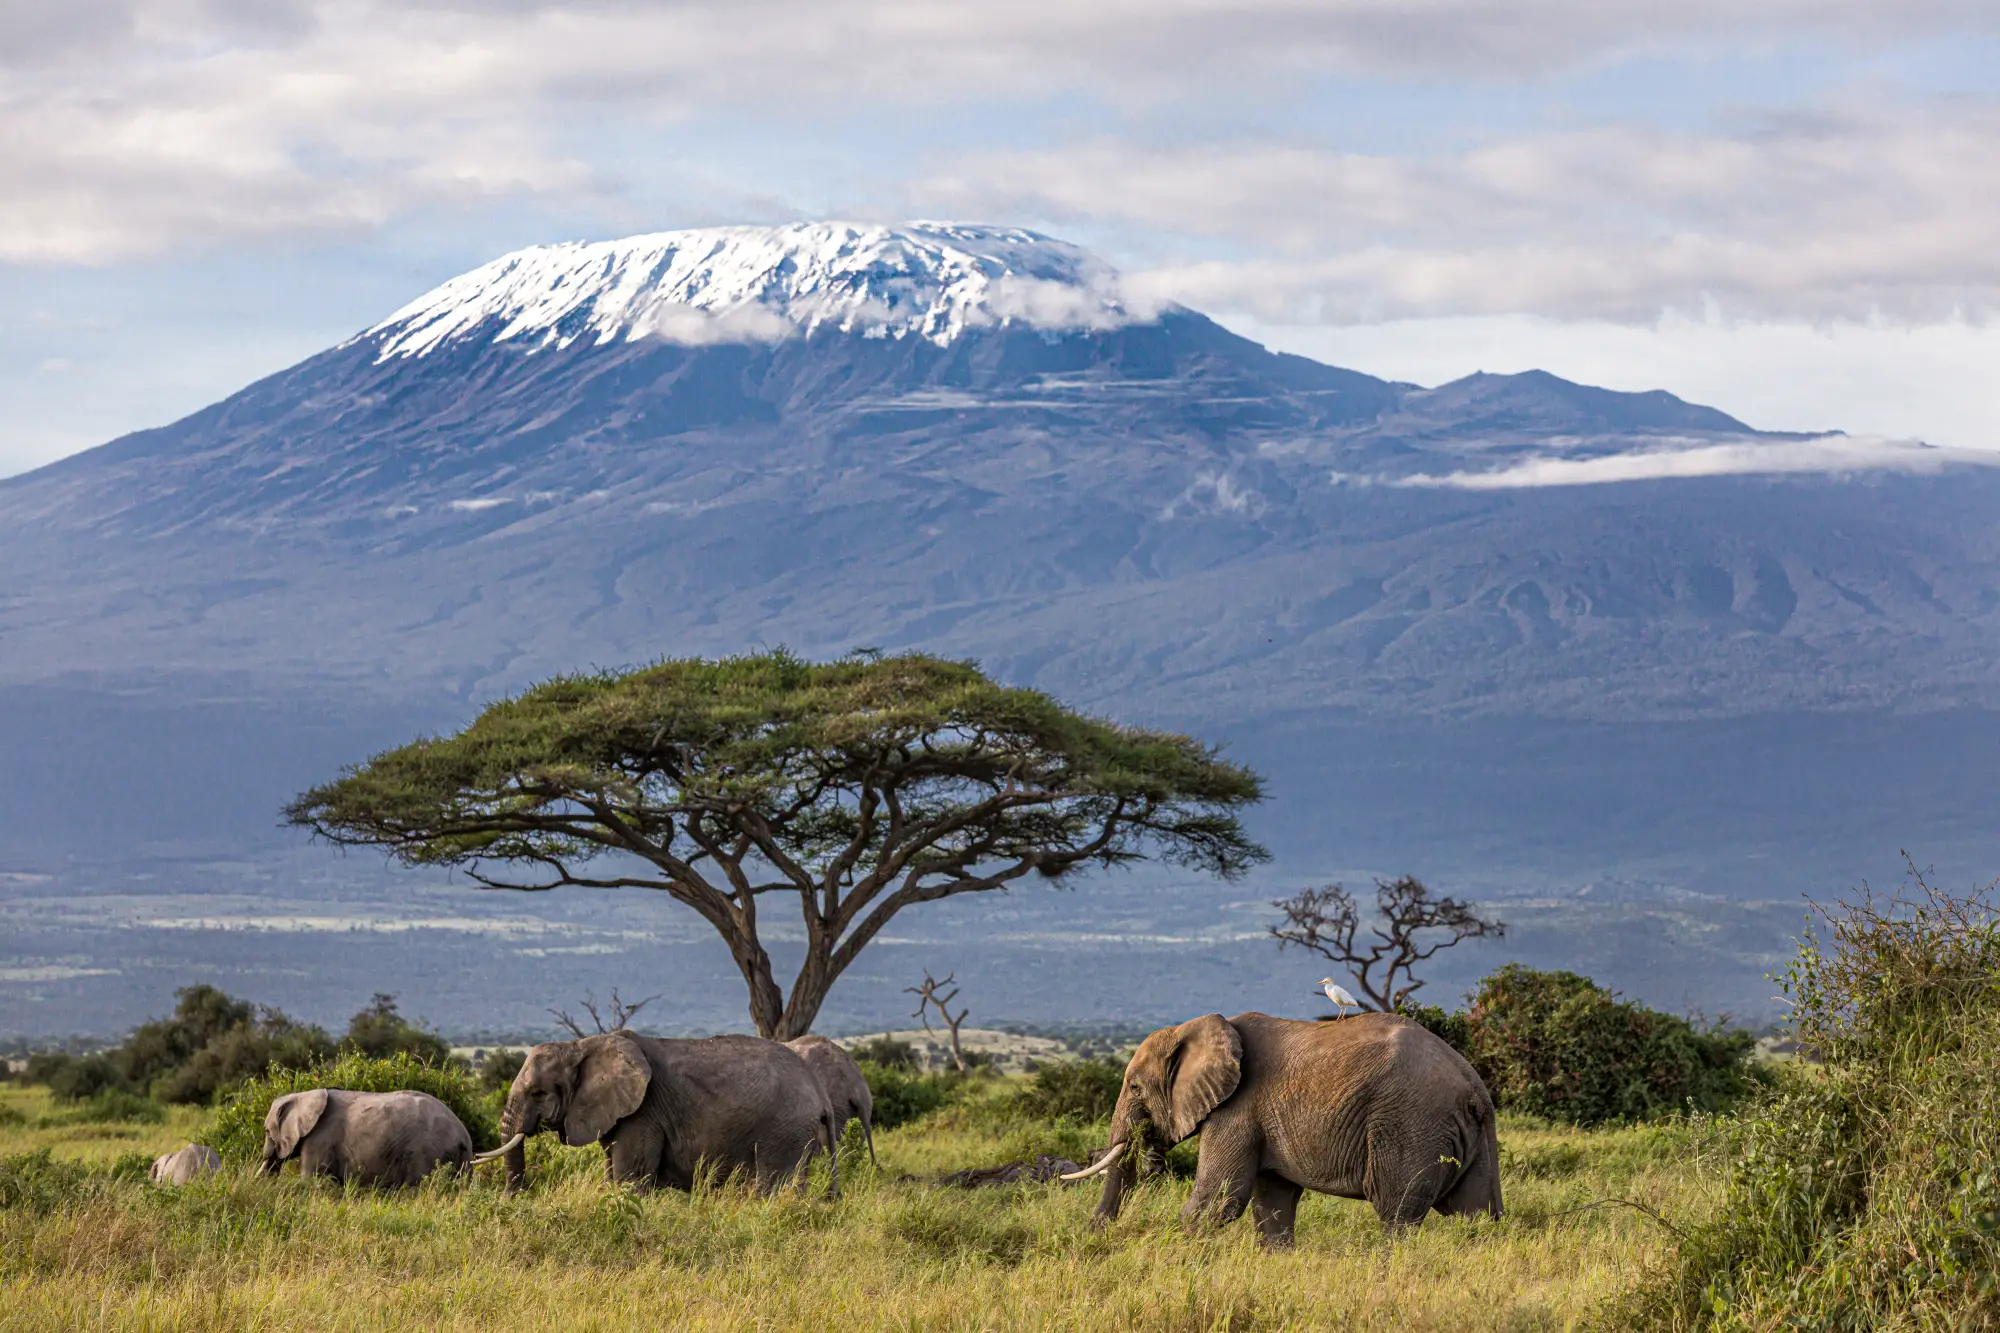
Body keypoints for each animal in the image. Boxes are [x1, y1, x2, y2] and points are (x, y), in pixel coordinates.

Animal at [260, 1080, 474, 1184]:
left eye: (267, 1131)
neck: (304, 1095)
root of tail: (463, 1134)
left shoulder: (320, 1139)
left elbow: (311, 1180)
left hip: (427, 1151)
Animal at [480, 1020, 840, 1200]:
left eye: (539, 1093)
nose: (515, 1198)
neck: (582, 1045)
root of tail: (820, 1092)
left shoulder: (644, 1113)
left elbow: (631, 1179)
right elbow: (613, 1174)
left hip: (784, 1130)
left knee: (773, 1187)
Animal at [1064, 1008, 1504, 1248]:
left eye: (1135, 1087)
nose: (1092, 1234)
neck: (1199, 1027)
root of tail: (1474, 1085)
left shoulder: (1238, 1109)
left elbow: (1217, 1202)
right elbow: (1273, 1204)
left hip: (1411, 1125)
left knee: (1397, 1212)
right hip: (1467, 1135)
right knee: (1475, 1213)